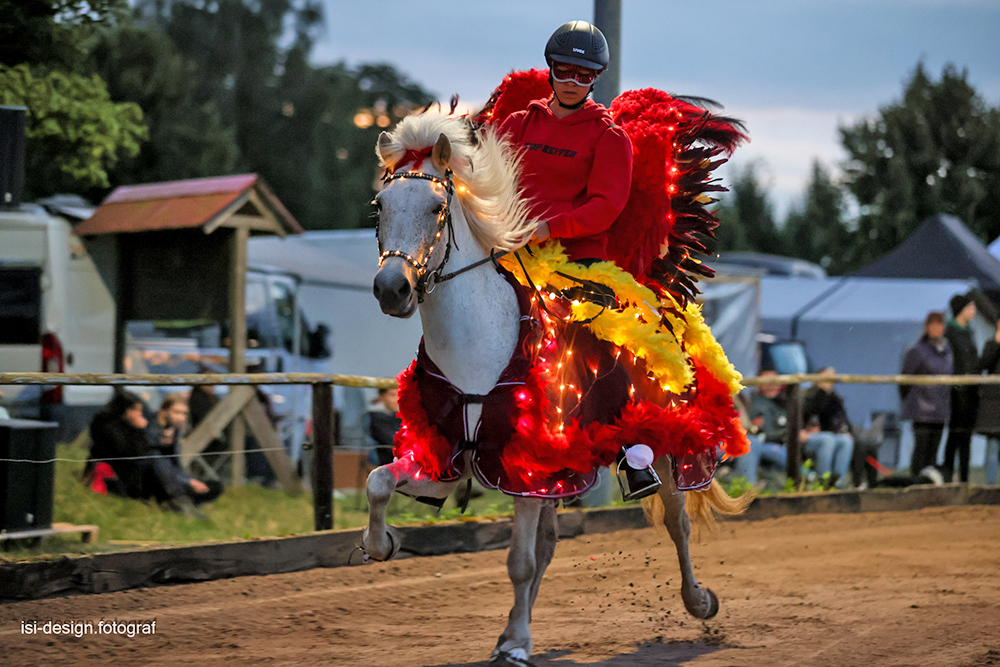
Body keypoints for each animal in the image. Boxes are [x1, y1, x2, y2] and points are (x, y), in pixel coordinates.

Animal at [364, 113, 748, 667]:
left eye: (437, 207)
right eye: (380, 205)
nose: (392, 288)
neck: (476, 342)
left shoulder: (524, 468)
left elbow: (519, 561)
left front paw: (516, 644)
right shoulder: (446, 458)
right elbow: (377, 483)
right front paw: (382, 544)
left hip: (664, 444)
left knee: (678, 523)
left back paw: (697, 601)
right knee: (548, 542)